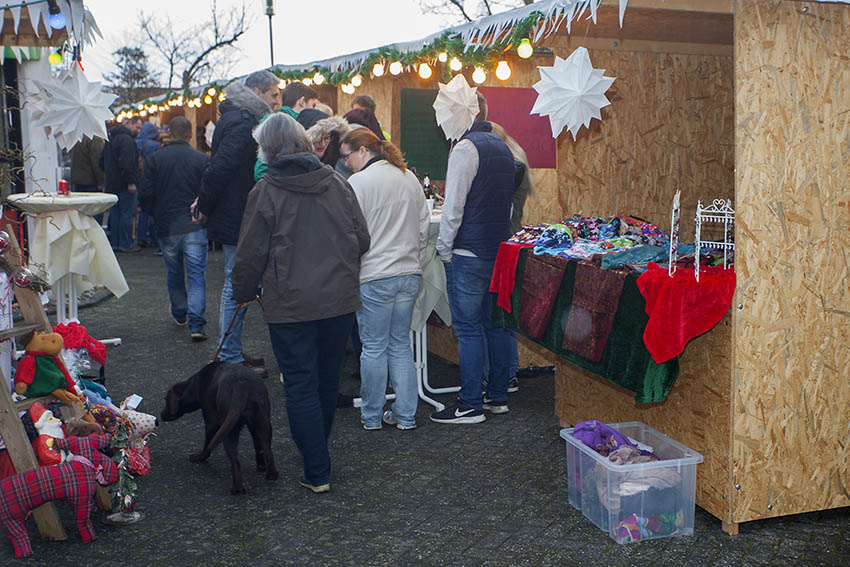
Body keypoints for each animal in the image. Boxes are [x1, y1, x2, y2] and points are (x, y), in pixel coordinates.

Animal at [161, 364, 276, 492]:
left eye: (166, 400)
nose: (160, 416)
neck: (196, 384)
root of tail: (241, 385)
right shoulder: (252, 427)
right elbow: (258, 448)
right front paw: (261, 466)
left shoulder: (211, 421)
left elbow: (207, 443)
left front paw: (199, 457)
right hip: (263, 425)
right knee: (267, 451)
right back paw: (271, 475)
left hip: (229, 431)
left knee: (235, 462)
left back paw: (237, 490)